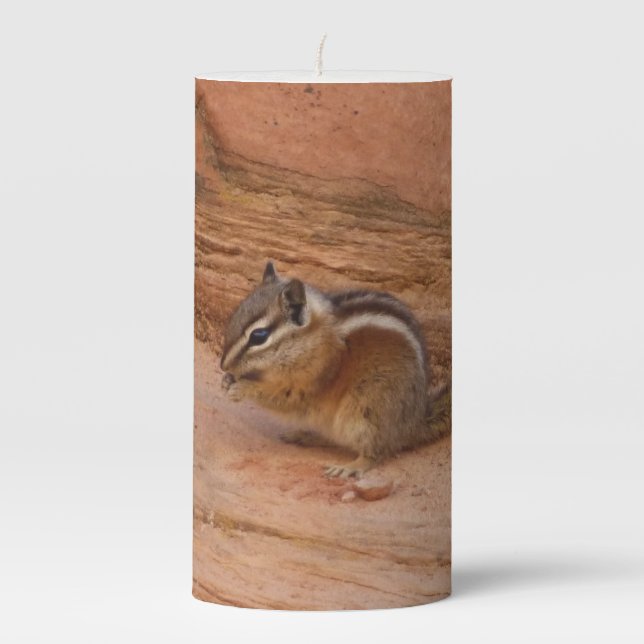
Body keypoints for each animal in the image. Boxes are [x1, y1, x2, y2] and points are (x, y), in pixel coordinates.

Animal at [220, 262, 450, 478]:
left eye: (259, 336)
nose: (223, 365)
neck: (312, 339)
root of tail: (414, 423)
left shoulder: (314, 379)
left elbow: (282, 397)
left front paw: (241, 388)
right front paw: (227, 380)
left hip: (368, 408)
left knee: (377, 452)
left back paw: (351, 467)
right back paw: (304, 435)